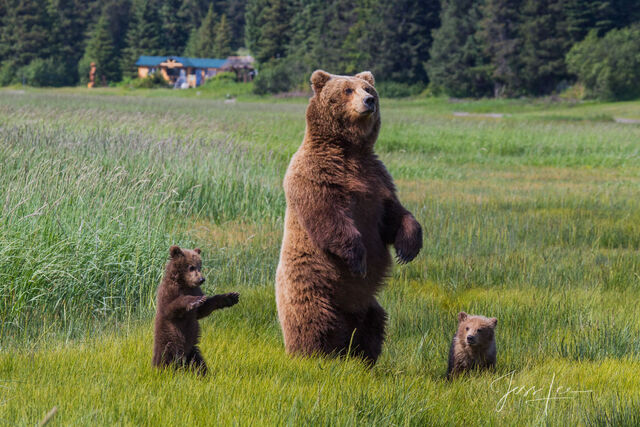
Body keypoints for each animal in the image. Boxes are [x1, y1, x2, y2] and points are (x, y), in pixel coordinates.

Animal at [152, 246, 240, 376]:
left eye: (200, 266)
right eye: (191, 267)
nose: (201, 279)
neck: (185, 283)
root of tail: (181, 361)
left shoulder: (196, 291)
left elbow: (203, 309)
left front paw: (230, 297)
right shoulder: (168, 292)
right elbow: (171, 307)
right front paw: (194, 301)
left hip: (192, 351)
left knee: (198, 364)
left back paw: (204, 374)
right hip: (168, 342)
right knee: (164, 360)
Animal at [274, 70, 420, 364]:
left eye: (369, 89)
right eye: (347, 90)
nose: (369, 101)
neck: (348, 149)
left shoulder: (377, 178)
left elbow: (394, 213)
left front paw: (408, 247)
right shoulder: (315, 174)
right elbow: (329, 216)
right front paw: (358, 259)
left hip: (366, 304)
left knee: (374, 323)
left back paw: (363, 357)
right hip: (313, 286)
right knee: (314, 320)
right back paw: (314, 355)